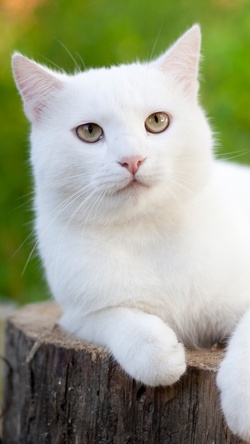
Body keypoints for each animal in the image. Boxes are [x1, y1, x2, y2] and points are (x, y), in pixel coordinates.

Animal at [12, 26, 250, 442]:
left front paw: (243, 404)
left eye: (157, 121)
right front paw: (160, 353)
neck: (145, 232)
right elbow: (121, 320)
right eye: (90, 132)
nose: (132, 159)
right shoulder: (77, 315)